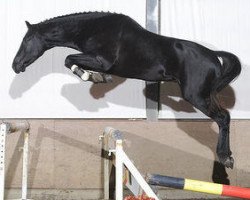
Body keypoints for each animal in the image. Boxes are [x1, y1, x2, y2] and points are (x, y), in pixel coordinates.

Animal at [12, 10, 241, 167]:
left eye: (26, 40)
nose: (16, 65)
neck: (93, 29)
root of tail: (214, 56)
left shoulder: (102, 60)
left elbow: (69, 59)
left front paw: (92, 76)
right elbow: (71, 61)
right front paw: (97, 77)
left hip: (196, 96)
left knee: (222, 118)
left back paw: (225, 157)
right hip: (207, 95)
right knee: (226, 116)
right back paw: (227, 156)